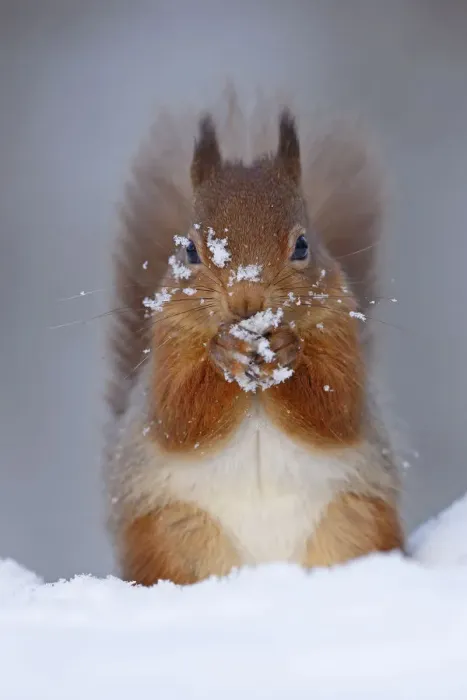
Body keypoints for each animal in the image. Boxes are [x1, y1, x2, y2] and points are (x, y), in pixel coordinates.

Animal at [105, 93, 404, 586]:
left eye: (302, 245)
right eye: (189, 249)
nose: (247, 300)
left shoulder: (339, 327)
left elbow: (336, 408)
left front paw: (287, 353)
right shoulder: (167, 340)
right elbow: (179, 417)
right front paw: (225, 353)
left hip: (353, 522)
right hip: (172, 537)